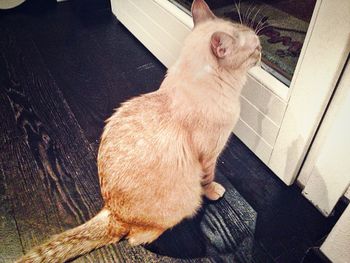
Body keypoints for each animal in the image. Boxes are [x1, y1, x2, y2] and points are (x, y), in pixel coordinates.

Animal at [17, 1, 260, 262]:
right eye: (255, 49)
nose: (262, 51)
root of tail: (112, 212)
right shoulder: (209, 156)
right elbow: (208, 179)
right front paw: (214, 191)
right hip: (183, 201)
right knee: (137, 237)